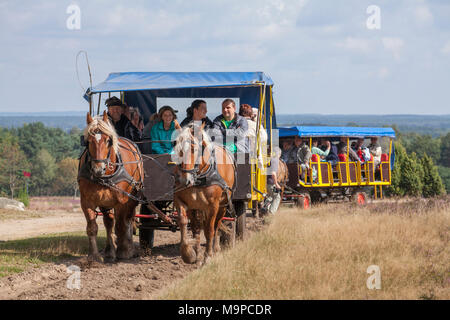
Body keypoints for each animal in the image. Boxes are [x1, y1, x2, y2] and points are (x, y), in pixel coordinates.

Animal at [78, 111, 143, 262]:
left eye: (108, 141)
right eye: (88, 141)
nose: (98, 169)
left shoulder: (122, 201)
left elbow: (121, 226)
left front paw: (124, 251)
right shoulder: (87, 201)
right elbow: (92, 227)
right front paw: (94, 257)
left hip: (133, 197)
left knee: (129, 220)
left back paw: (128, 247)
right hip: (105, 202)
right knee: (109, 222)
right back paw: (109, 250)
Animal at [172, 121, 236, 264]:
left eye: (194, 149)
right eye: (177, 147)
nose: (184, 180)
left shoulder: (213, 206)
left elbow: (210, 230)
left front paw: (208, 256)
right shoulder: (181, 201)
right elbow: (185, 223)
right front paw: (189, 254)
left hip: (223, 206)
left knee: (216, 225)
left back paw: (215, 249)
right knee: (197, 227)